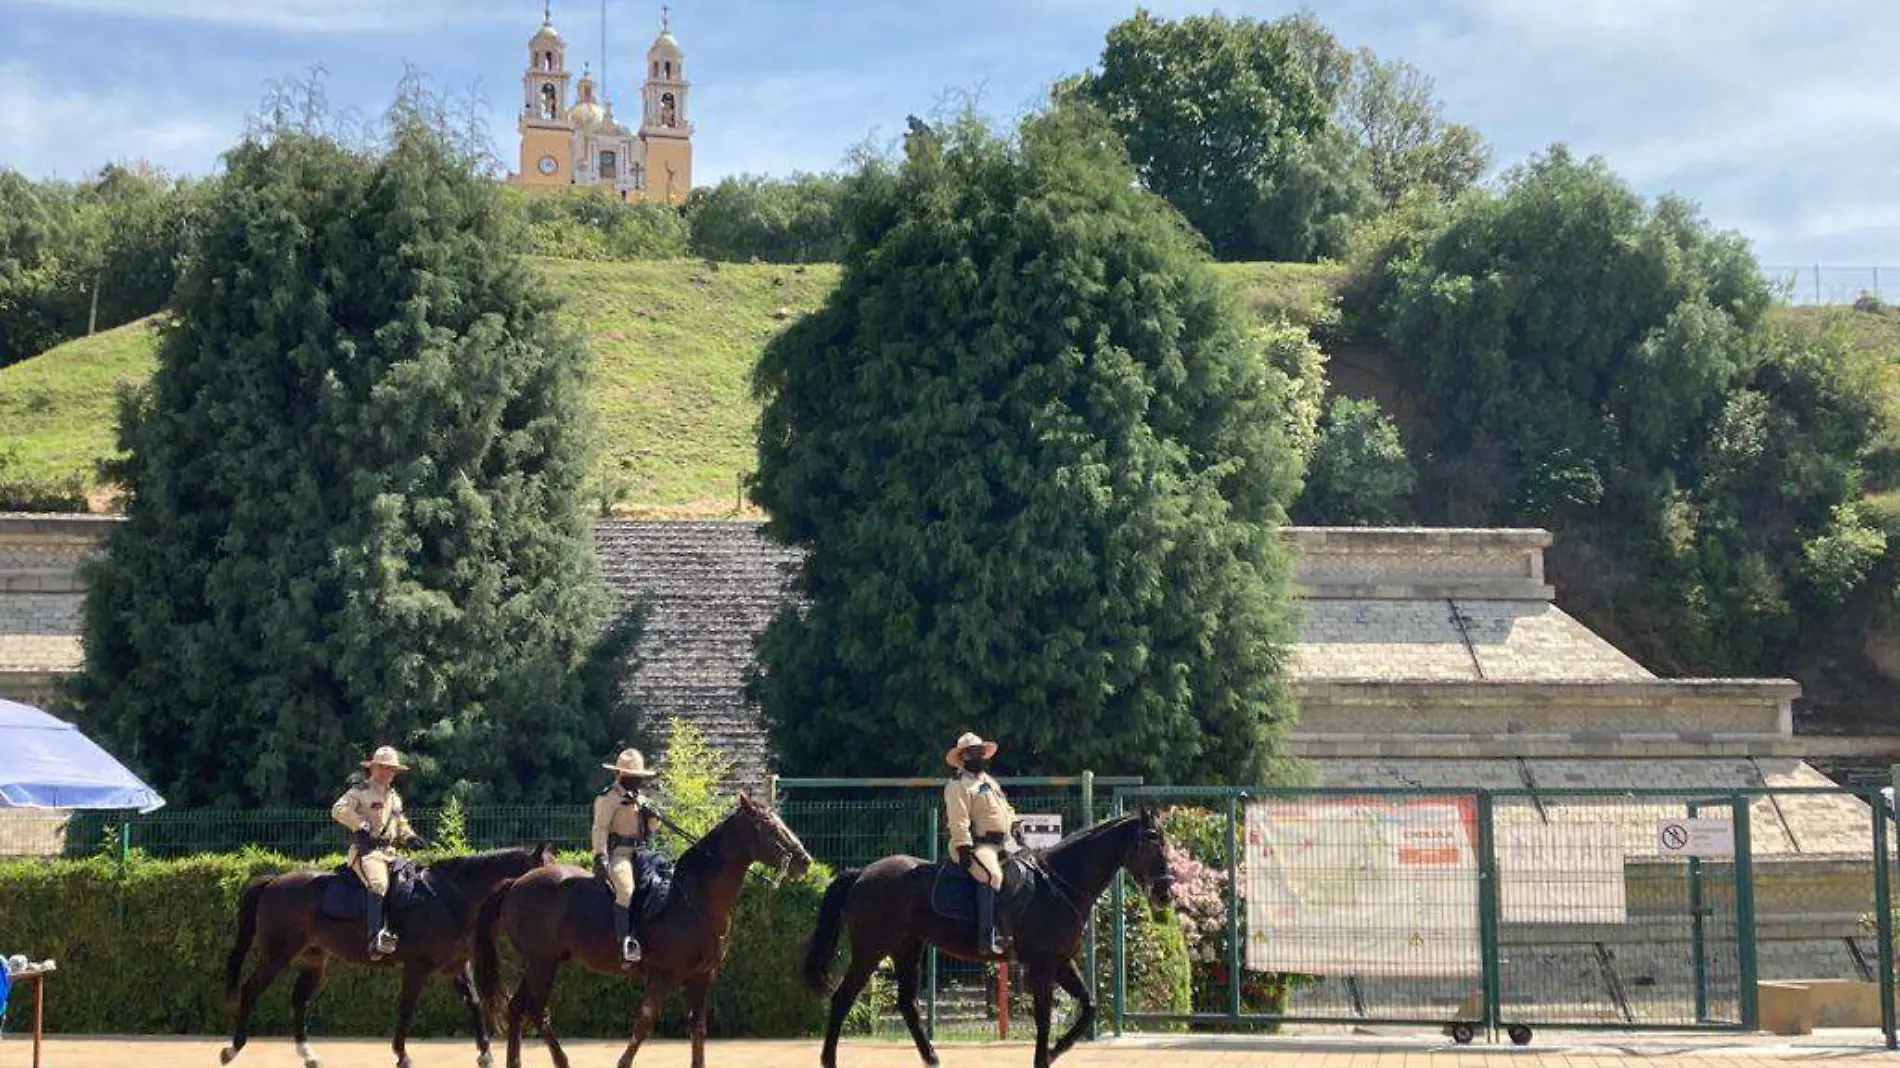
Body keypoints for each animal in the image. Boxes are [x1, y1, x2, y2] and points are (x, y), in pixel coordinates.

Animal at [221, 839, 554, 1064]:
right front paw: (402, 1054)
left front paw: (485, 1053)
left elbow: (474, 1002)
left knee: (300, 1000)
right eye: (547, 872)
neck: (449, 897)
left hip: (313, 959)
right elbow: (406, 1008)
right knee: (251, 990)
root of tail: (273, 882)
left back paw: (309, 1055)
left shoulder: (456, 966)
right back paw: (232, 1048)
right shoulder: (418, 967)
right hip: (277, 955)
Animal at [478, 790, 813, 1064]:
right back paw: (561, 1061)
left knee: (518, 1007)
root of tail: (515, 883)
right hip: (542, 964)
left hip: (540, 963)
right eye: (767, 824)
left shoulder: (701, 977)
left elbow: (698, 1030)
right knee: (535, 1010)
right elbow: (644, 1024)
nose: (804, 861)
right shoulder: (663, 976)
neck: (693, 898)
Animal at [801, 805, 1170, 1064]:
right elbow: (1043, 1018)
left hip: (907, 949)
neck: (1058, 883)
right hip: (870, 950)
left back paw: (932, 1058)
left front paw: (1055, 1051)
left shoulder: (1062, 961)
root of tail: (863, 873)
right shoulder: (1042, 964)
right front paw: (1043, 1058)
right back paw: (829, 1060)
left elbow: (1089, 1006)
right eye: (1151, 840)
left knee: (906, 1004)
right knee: (842, 998)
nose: (1165, 893)